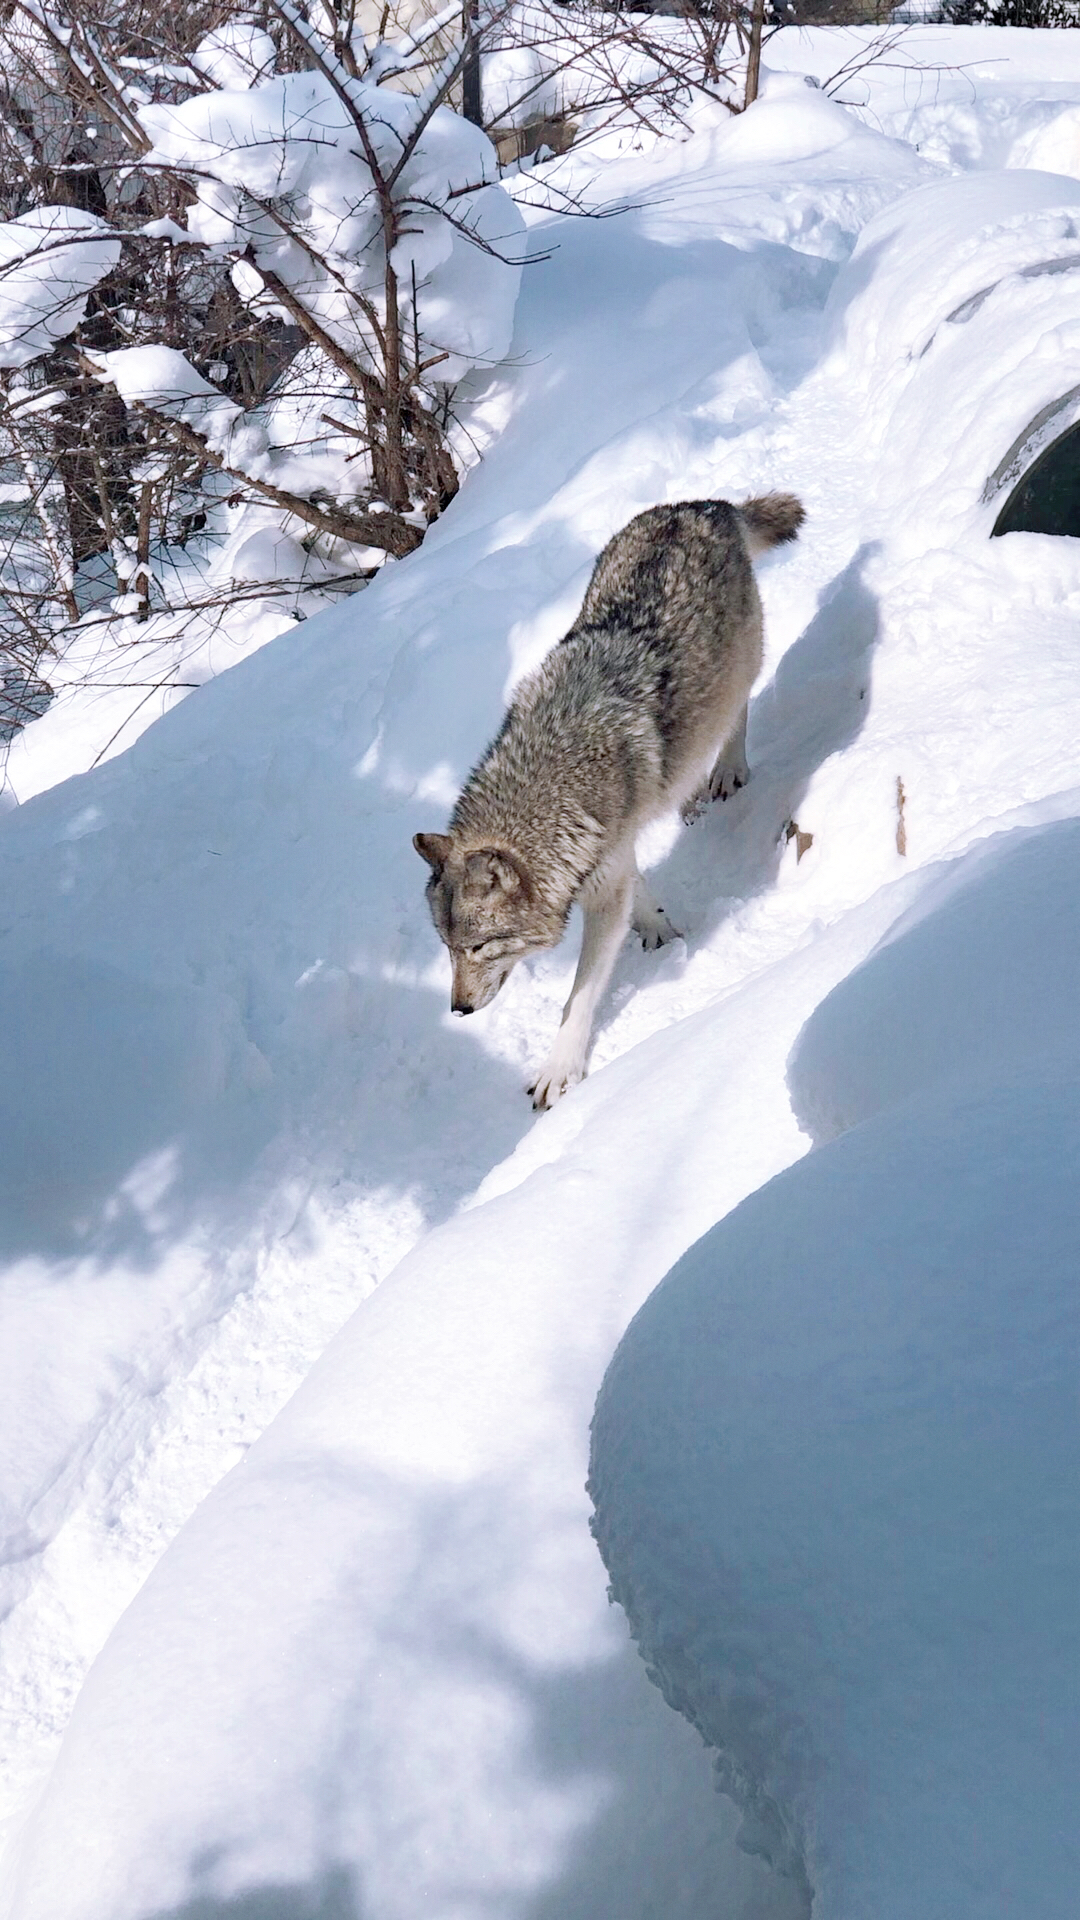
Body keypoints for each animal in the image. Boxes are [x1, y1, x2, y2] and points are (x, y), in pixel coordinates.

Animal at [411, 495, 799, 1113]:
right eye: (447, 947)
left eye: (480, 945)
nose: (459, 1009)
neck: (555, 777)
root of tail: (703, 505)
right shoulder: (608, 853)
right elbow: (638, 889)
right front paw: (659, 928)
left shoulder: (603, 872)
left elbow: (579, 998)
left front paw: (558, 1071)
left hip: (735, 672)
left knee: (736, 713)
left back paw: (727, 771)